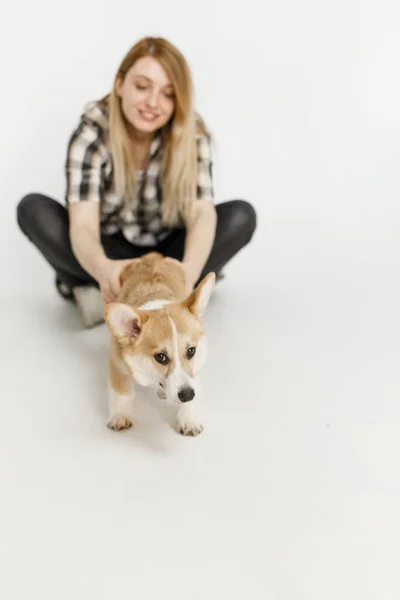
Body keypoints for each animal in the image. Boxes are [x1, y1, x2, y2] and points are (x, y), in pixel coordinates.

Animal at [104, 251, 216, 438]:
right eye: (161, 357)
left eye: (191, 351)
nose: (187, 395)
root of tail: (152, 256)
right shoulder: (117, 362)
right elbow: (121, 392)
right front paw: (120, 416)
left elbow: (194, 382)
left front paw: (188, 418)